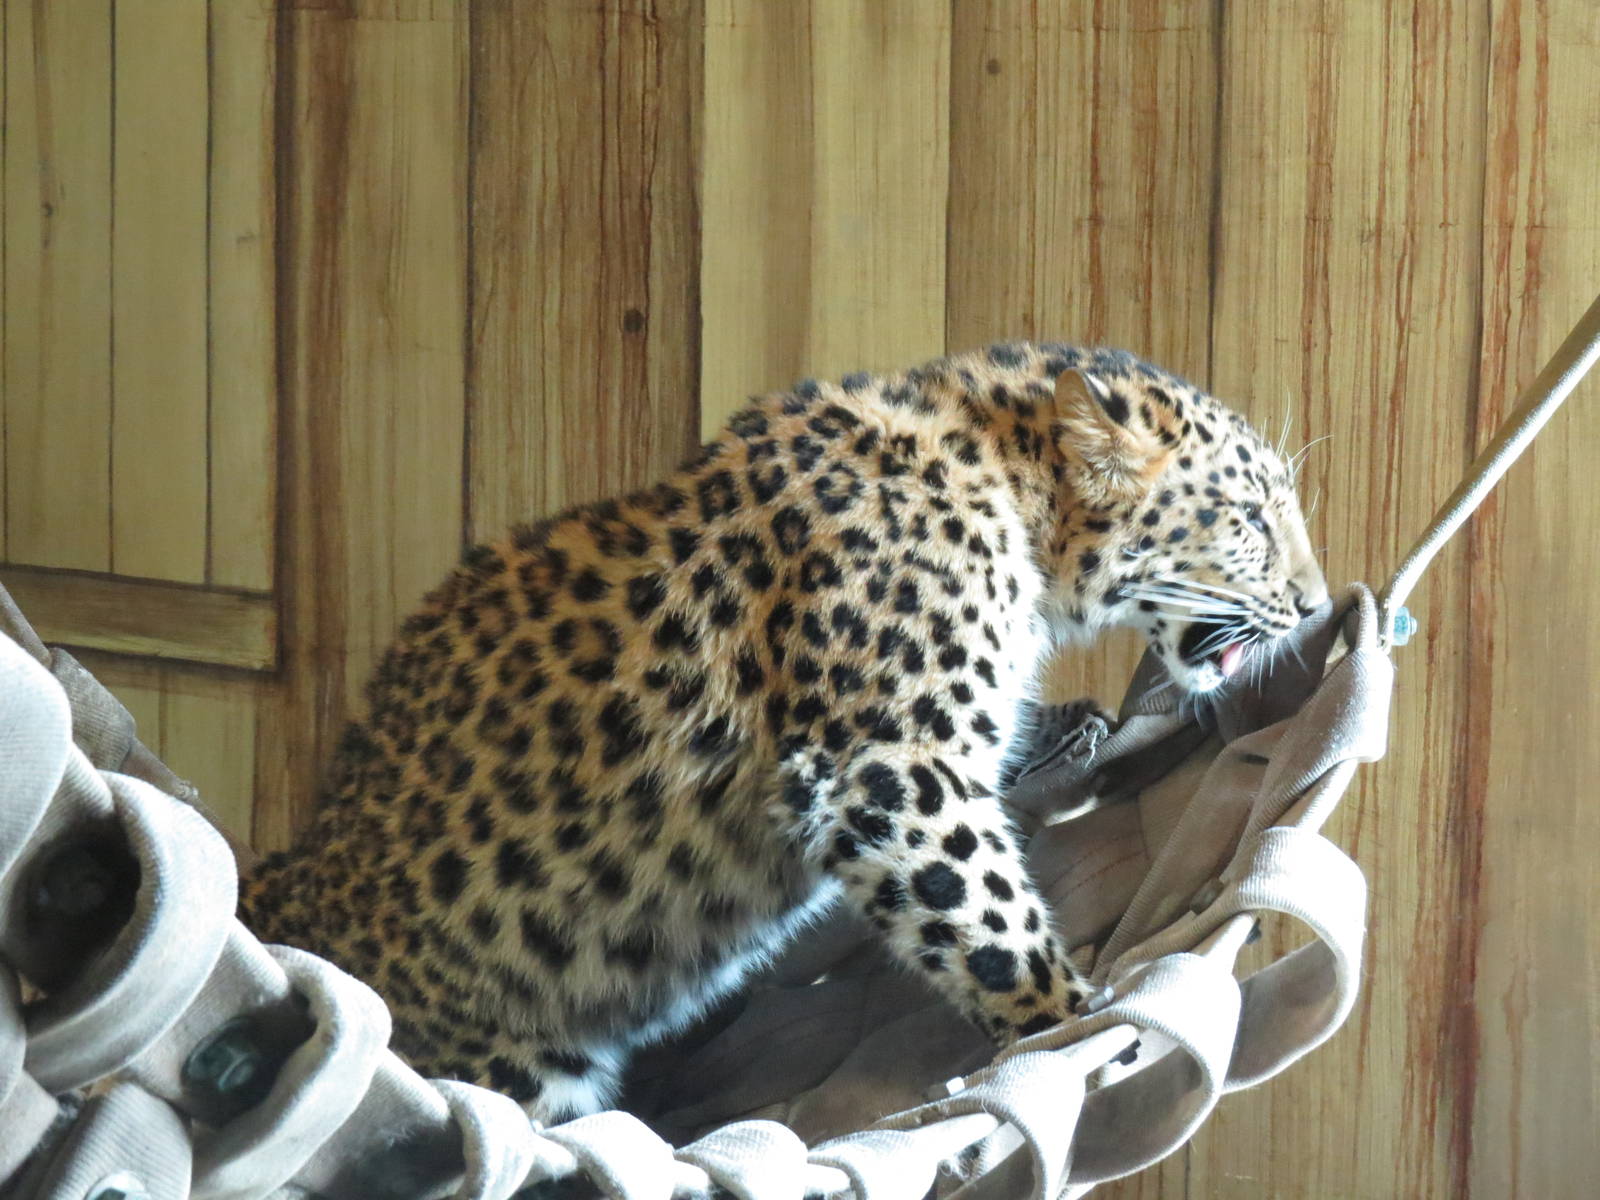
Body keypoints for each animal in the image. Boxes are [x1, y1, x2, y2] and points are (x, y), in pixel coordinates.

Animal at [239, 342, 1327, 1121]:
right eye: (1250, 520)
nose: (1317, 606)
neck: (1007, 489)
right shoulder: (885, 769)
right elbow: (988, 916)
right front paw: (1076, 1024)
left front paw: (1068, 730)